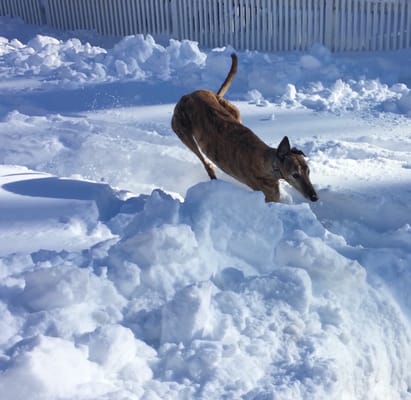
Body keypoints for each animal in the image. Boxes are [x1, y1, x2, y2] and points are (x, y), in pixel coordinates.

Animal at [171, 52, 318, 202]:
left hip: (233, 111)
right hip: (182, 130)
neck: (266, 161)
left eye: (308, 171)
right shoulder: (269, 195)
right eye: (295, 174)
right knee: (205, 162)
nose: (315, 197)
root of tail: (191, 94)